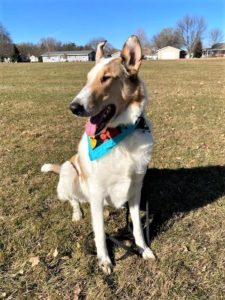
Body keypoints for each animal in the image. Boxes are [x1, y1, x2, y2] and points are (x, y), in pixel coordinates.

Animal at [40, 35, 155, 274]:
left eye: (106, 78)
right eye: (87, 79)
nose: (73, 107)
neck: (118, 136)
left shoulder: (135, 191)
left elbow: (137, 227)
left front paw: (143, 249)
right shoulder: (97, 193)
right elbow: (100, 233)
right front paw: (104, 260)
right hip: (69, 170)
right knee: (73, 200)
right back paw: (77, 213)